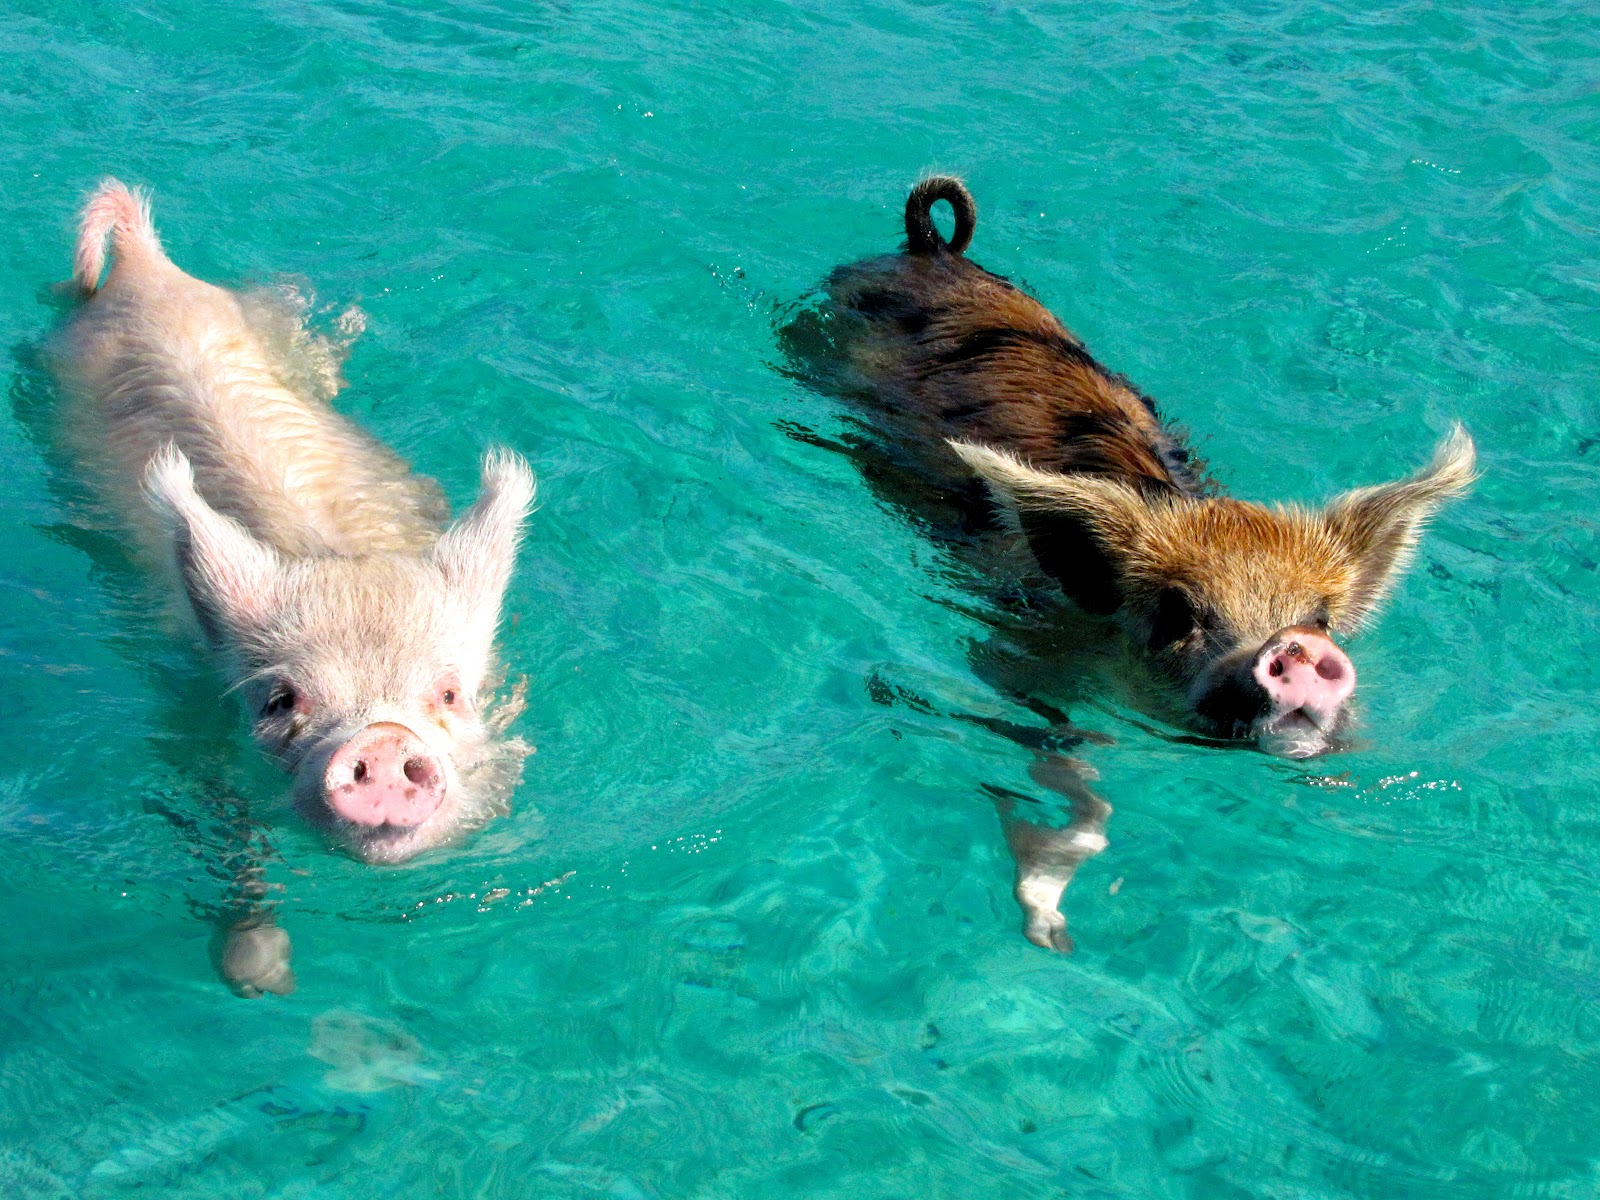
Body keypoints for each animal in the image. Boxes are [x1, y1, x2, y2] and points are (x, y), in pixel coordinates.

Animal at [50, 180, 535, 987]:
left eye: (449, 694)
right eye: (280, 700)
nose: (381, 741)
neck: (341, 563)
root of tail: (148, 270)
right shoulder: (197, 735)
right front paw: (261, 976)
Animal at [788, 176, 1476, 946]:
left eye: (1323, 618)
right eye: (1176, 613)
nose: (1294, 645)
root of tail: (932, 247)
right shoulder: (1017, 654)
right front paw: (1049, 931)